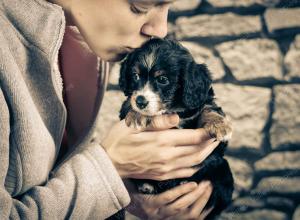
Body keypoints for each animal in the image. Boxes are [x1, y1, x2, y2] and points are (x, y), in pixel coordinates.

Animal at [118, 38, 233, 219]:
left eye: (162, 79)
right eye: (135, 76)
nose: (141, 101)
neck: (173, 108)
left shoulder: (201, 101)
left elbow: (208, 109)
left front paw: (220, 126)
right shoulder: (126, 104)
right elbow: (128, 103)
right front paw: (137, 114)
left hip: (224, 171)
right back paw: (147, 185)